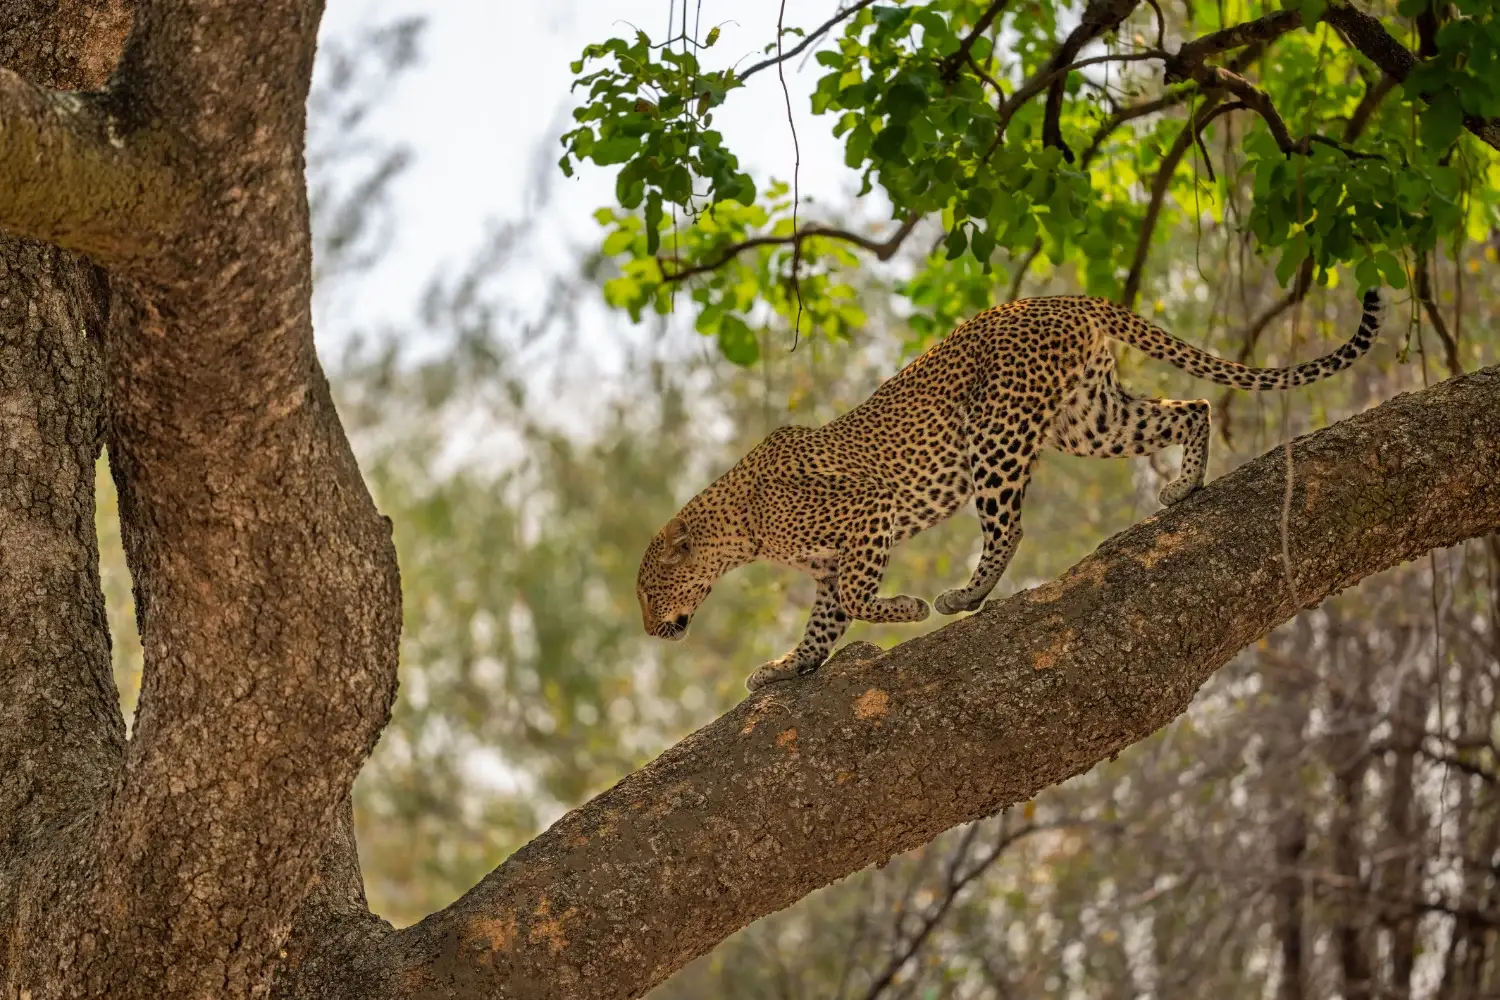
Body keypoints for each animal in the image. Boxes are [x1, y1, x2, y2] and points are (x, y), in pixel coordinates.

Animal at [637, 288, 1384, 692]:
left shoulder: (867, 516)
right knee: (1190, 409)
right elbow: (824, 622)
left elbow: (854, 599)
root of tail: (1056, 296)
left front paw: (907, 609)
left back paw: (965, 596)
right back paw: (1183, 488)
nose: (649, 631)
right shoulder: (828, 563)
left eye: (648, 592)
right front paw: (786, 668)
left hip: (998, 435)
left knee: (1008, 526)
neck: (738, 530)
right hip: (1090, 419)